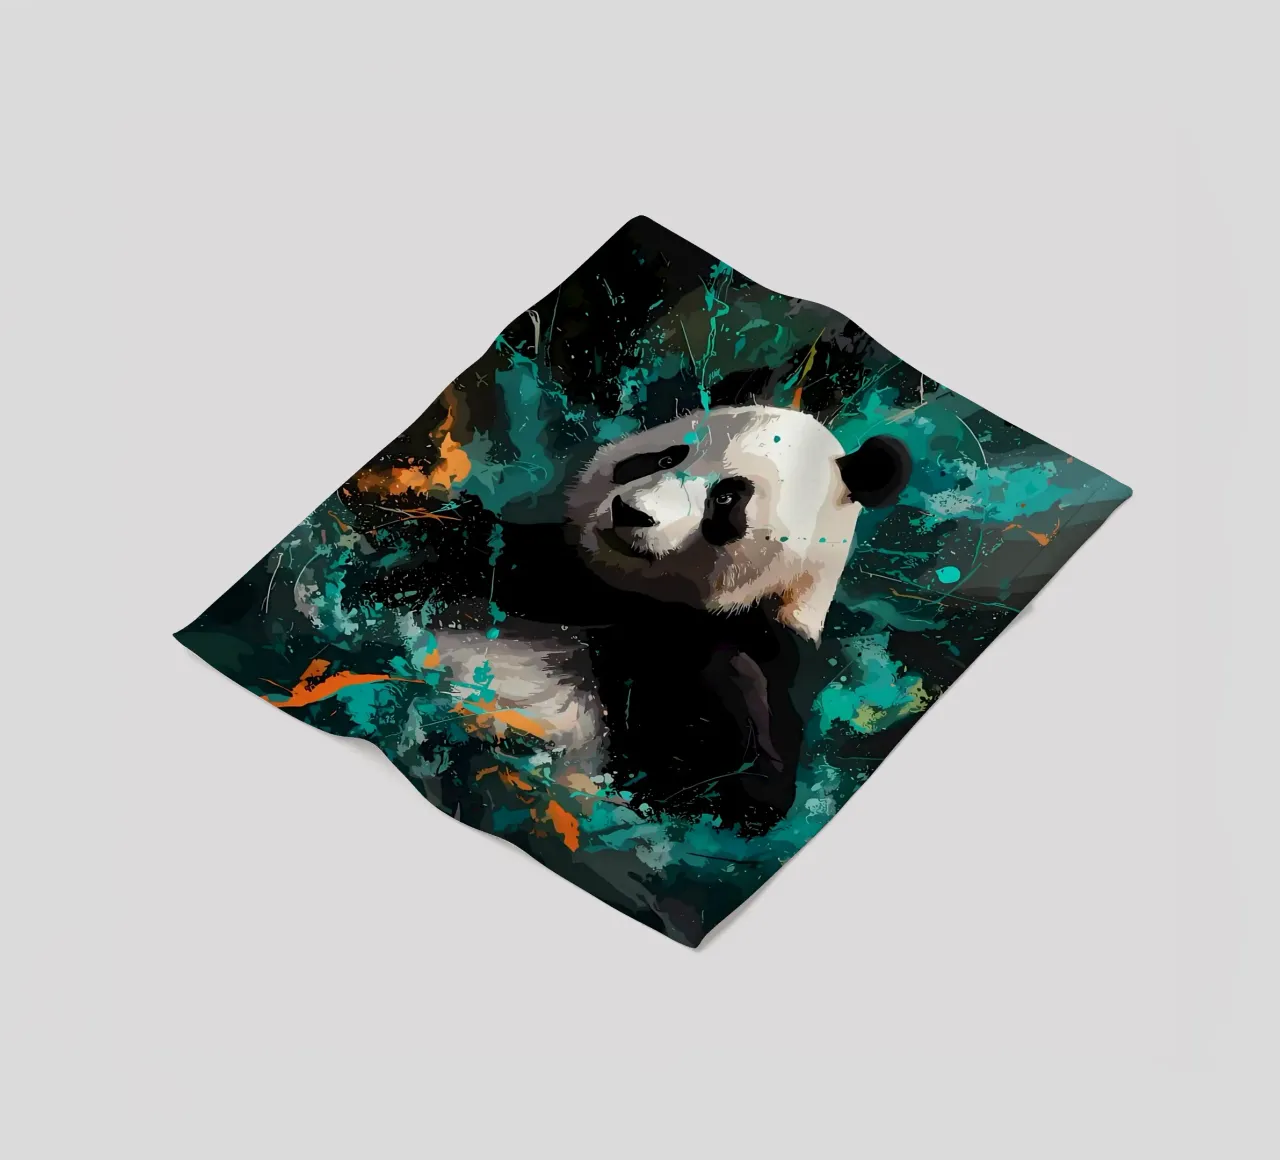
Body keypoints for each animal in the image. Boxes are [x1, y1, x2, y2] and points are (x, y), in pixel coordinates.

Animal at [424, 404, 910, 835]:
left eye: (726, 496)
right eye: (665, 458)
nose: (630, 511)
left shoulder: (757, 648)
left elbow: (736, 789)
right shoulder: (557, 573)